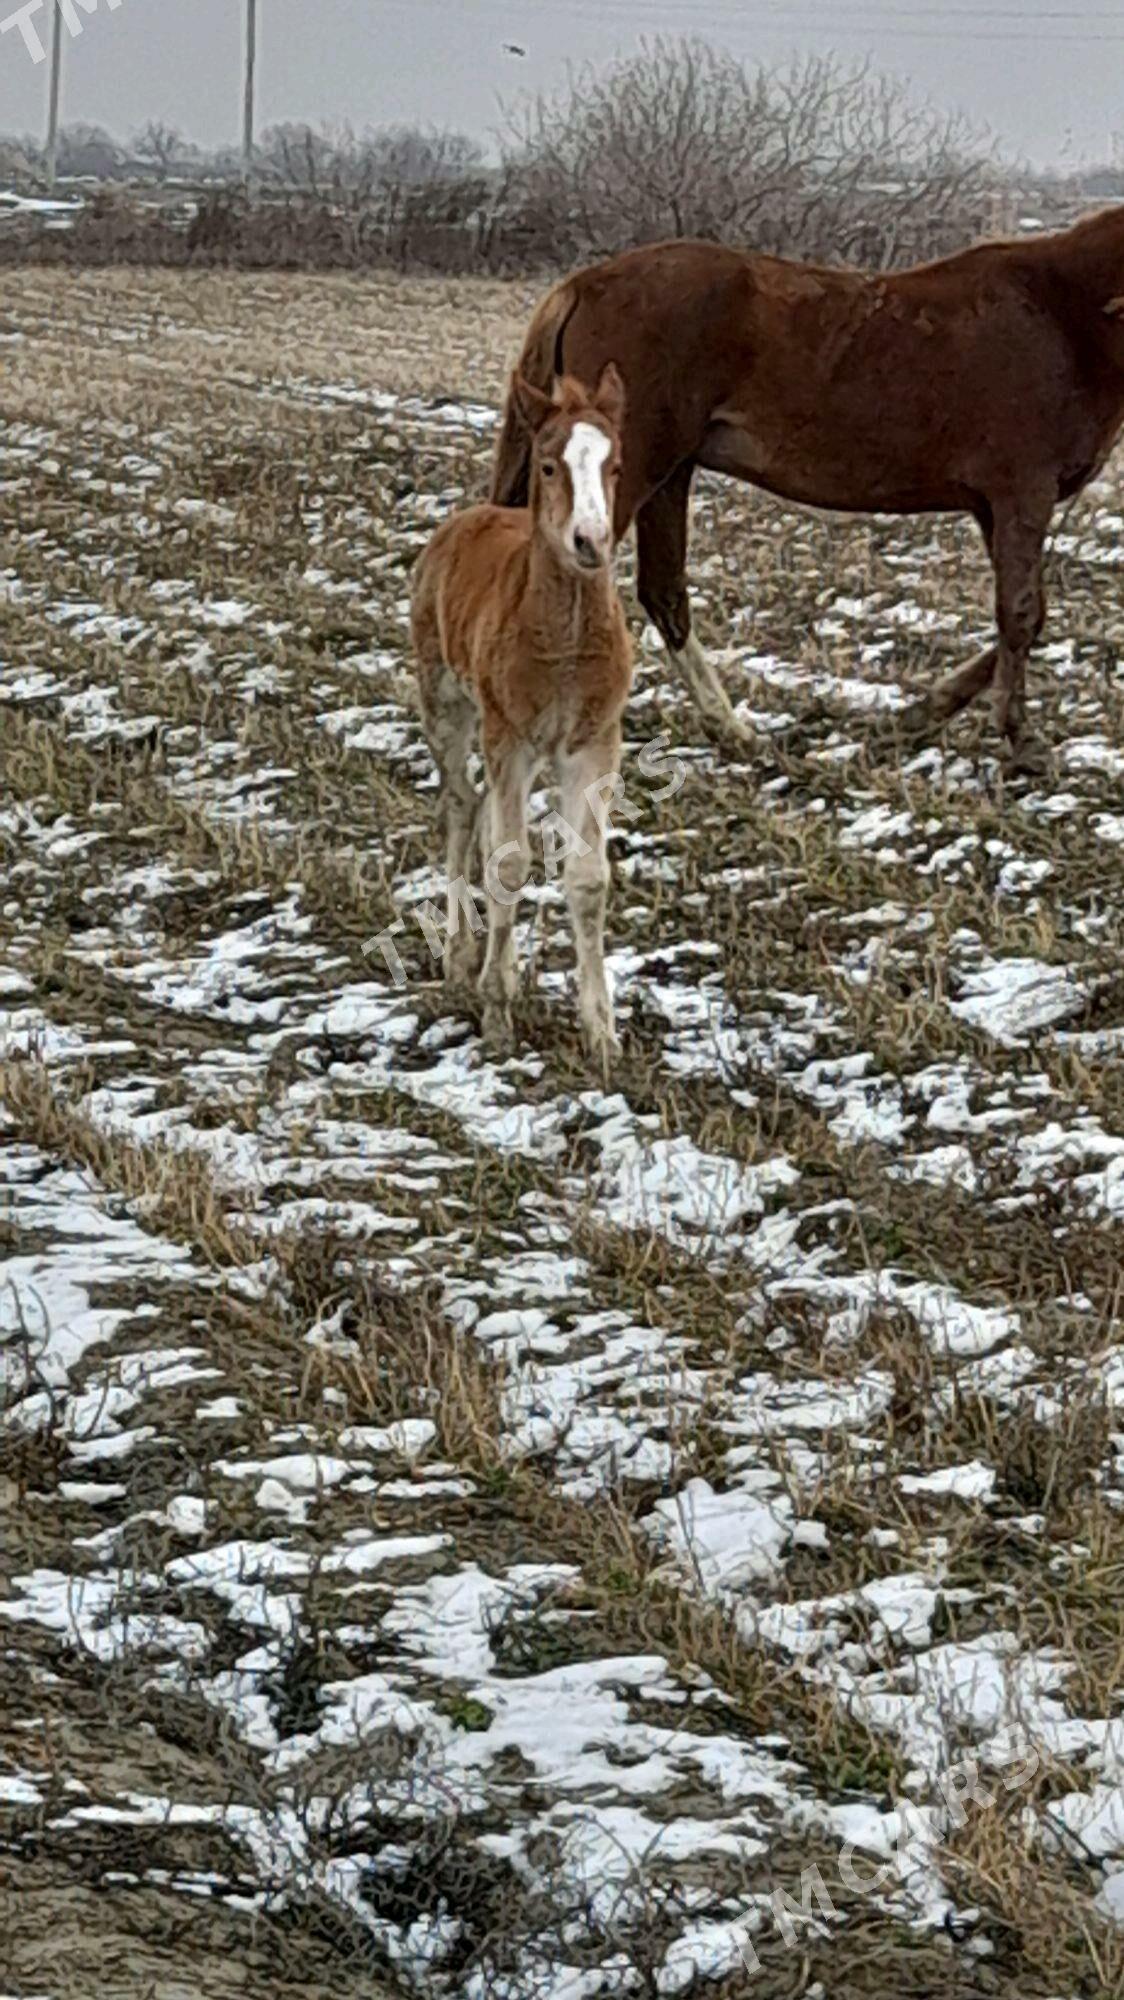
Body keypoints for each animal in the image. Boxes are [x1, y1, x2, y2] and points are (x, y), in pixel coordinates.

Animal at [410, 366, 632, 1072]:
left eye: (615, 465)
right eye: (549, 465)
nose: (591, 542)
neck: (564, 638)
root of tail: (467, 517)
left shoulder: (593, 744)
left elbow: (587, 879)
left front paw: (602, 1034)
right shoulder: (509, 737)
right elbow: (507, 869)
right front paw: (498, 1017)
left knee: (482, 817)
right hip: (447, 705)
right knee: (461, 807)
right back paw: (460, 961)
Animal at [492, 207, 1124, 760]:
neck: (1064, 315)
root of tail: (581, 286)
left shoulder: (994, 506)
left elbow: (1027, 617)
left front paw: (915, 715)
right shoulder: (1021, 493)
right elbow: (1020, 613)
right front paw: (1019, 739)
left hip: (665, 475)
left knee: (662, 592)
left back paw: (733, 731)